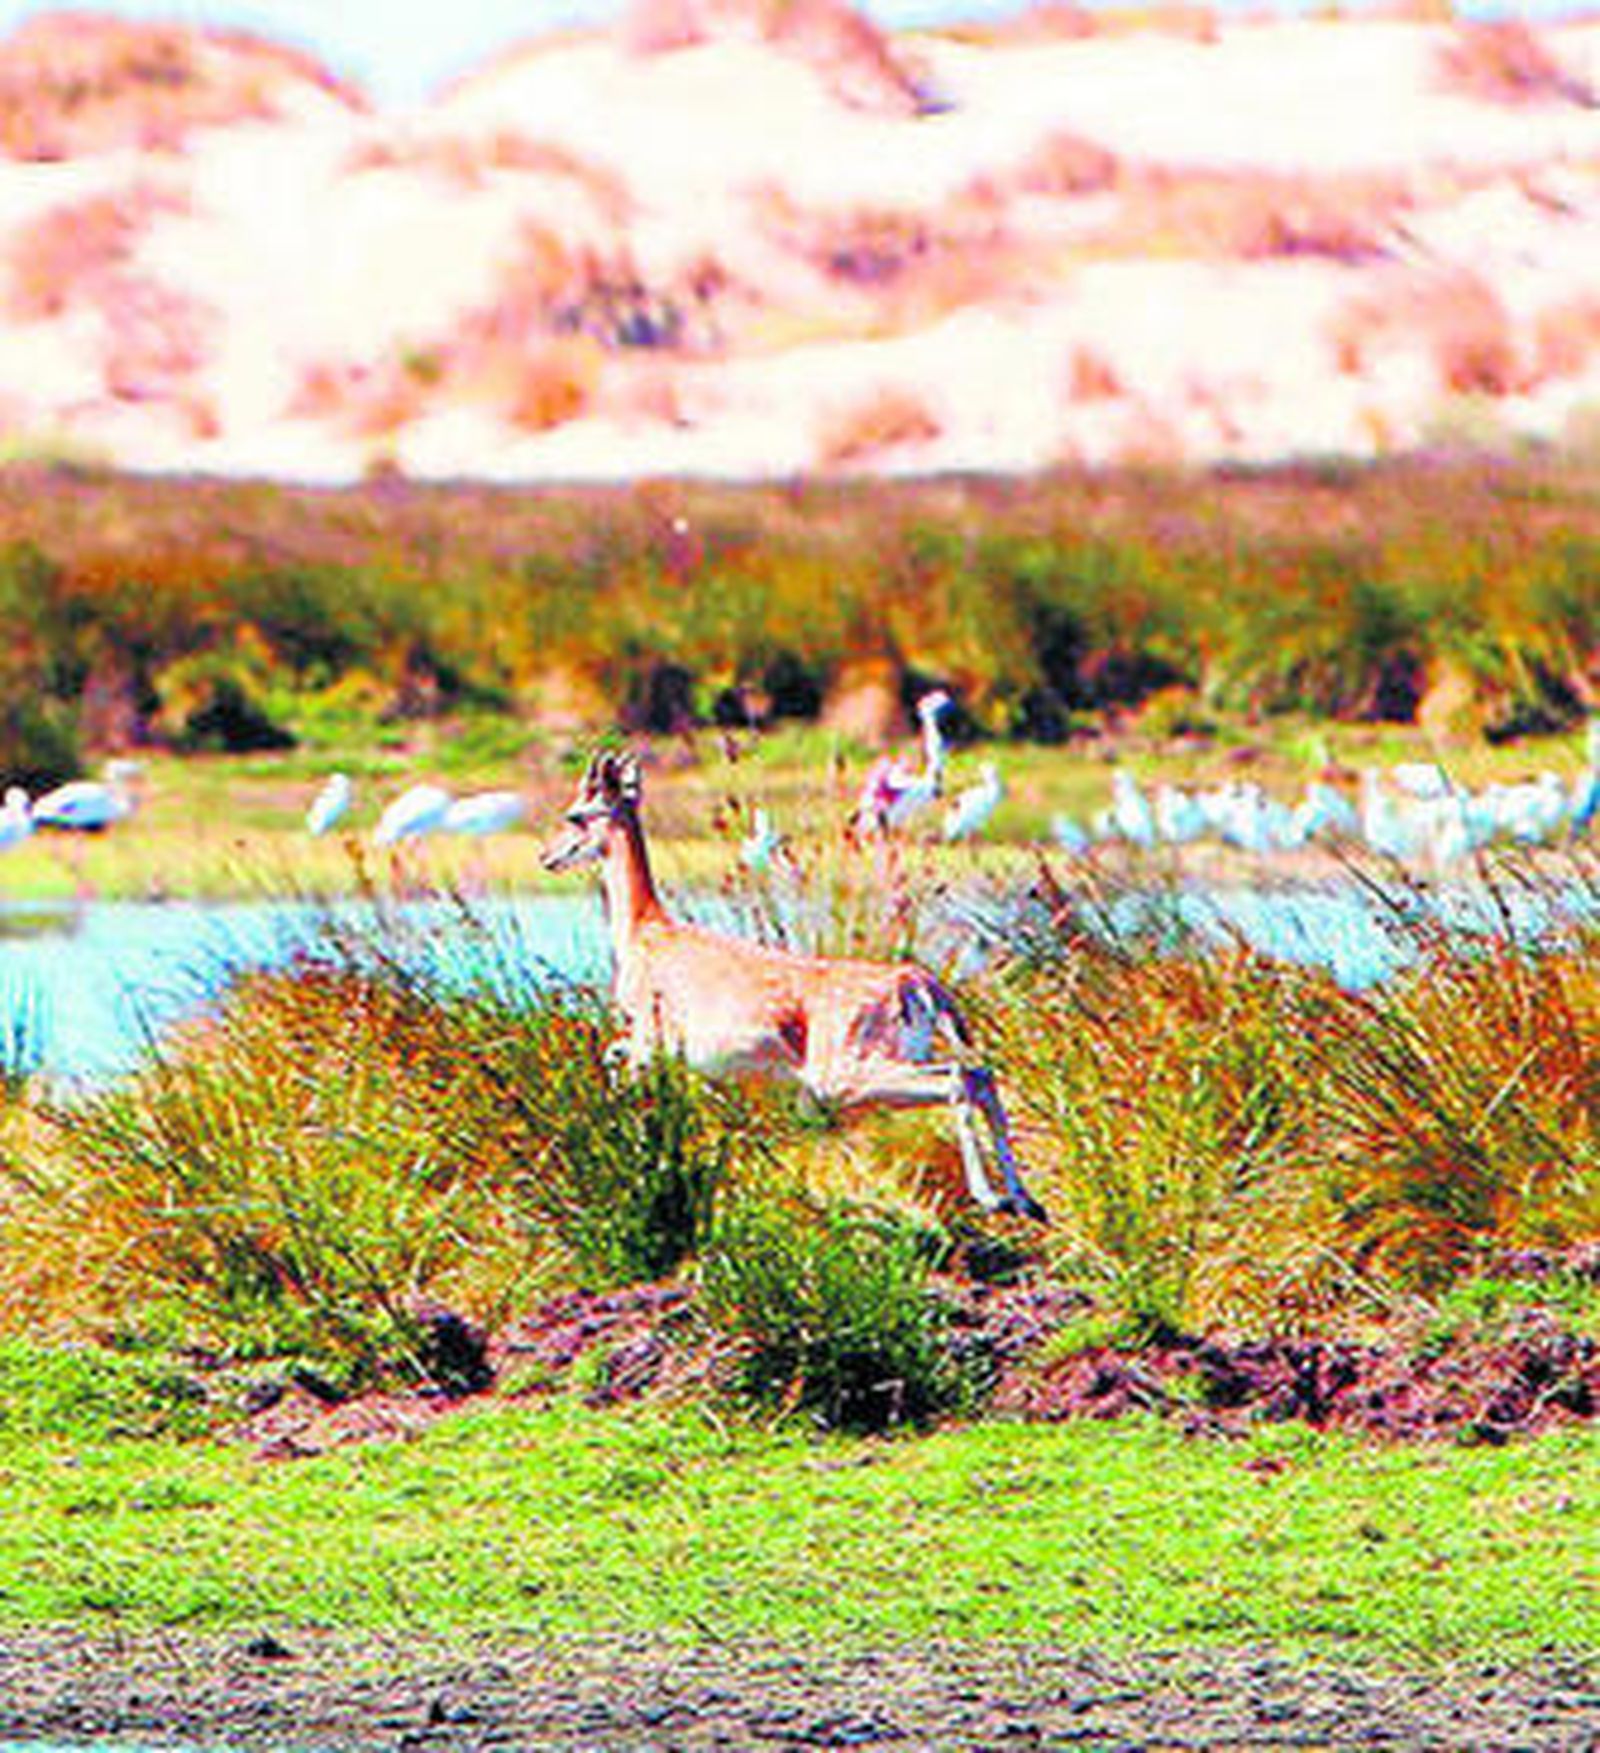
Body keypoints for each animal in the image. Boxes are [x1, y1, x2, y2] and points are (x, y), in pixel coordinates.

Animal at [542, 749, 1047, 1223]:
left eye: (577, 813)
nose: (547, 856)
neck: (646, 930)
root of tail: (914, 980)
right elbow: (613, 1056)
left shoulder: (649, 1041)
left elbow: (618, 1065)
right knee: (982, 1076)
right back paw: (1026, 1202)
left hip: (848, 1078)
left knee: (962, 1080)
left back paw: (992, 1197)